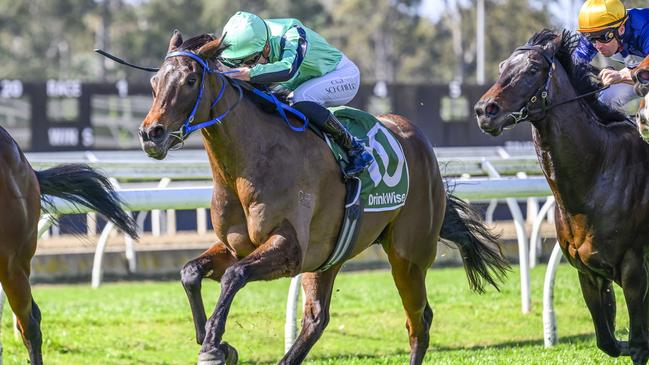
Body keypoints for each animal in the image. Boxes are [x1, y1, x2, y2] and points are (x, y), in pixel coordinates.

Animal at [139, 32, 508, 364]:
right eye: (155, 81)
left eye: (190, 80)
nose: (150, 133)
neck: (250, 162)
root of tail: (418, 138)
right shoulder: (237, 247)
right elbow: (190, 271)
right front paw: (212, 340)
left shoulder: (290, 248)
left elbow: (234, 276)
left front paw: (214, 348)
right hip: (329, 256)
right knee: (317, 319)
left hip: (408, 256)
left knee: (419, 321)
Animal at [474, 28, 648, 364]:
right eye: (502, 66)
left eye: (532, 69)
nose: (484, 111)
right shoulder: (588, 272)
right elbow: (607, 340)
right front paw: (617, 340)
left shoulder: (635, 270)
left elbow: (638, 345)